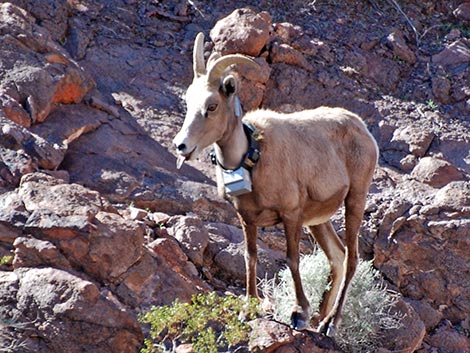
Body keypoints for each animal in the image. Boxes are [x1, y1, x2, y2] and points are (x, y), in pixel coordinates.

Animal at [173, 32, 378, 332]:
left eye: (212, 105)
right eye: (188, 102)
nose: (181, 146)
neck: (253, 156)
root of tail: (362, 129)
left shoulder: (291, 215)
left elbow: (292, 260)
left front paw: (299, 313)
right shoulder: (247, 218)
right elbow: (251, 258)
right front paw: (248, 310)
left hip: (355, 199)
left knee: (351, 258)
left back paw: (329, 322)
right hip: (317, 220)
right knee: (337, 257)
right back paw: (319, 318)